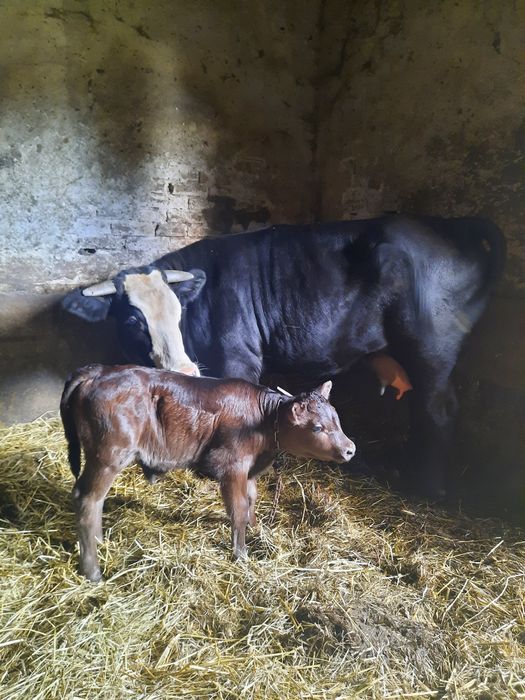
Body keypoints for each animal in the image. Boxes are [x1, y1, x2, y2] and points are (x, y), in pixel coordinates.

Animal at [60, 364, 356, 584]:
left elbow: (251, 499)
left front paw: (256, 529)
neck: (263, 420)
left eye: (337, 420)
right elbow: (238, 508)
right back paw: (92, 570)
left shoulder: (249, 471)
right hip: (108, 456)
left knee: (95, 500)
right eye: (317, 428)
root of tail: (96, 371)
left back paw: (99, 541)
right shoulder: (232, 465)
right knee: (87, 499)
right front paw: (241, 553)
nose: (350, 449)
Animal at [61, 216, 504, 494]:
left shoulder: (238, 358)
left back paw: (426, 486)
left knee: (438, 409)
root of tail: (451, 223)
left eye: (178, 310)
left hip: (432, 347)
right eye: (132, 321)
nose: (181, 366)